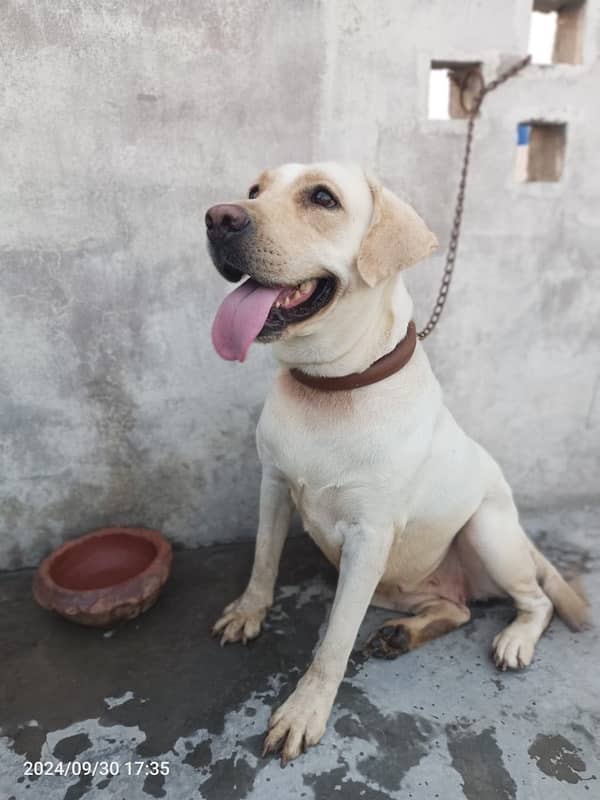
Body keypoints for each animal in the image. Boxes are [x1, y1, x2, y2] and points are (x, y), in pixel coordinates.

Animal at [204, 161, 588, 764]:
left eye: (322, 198)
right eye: (254, 191)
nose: (218, 218)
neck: (330, 387)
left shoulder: (368, 537)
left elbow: (334, 640)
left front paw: (305, 710)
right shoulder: (274, 485)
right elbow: (263, 560)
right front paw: (249, 613)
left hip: (486, 531)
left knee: (537, 600)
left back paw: (515, 638)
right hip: (390, 584)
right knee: (457, 608)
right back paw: (407, 631)